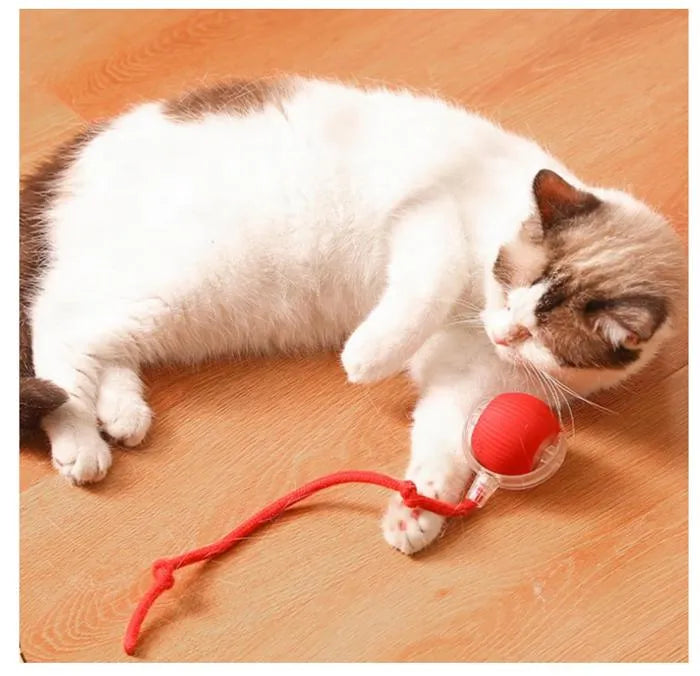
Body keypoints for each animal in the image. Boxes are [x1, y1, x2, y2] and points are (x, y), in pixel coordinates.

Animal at [20, 76, 685, 554]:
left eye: (534, 337)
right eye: (506, 289)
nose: (500, 333)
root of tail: (75, 155)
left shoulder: (468, 382)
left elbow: (443, 444)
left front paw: (418, 510)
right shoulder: (431, 219)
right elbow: (425, 289)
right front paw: (368, 357)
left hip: (180, 312)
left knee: (96, 338)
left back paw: (122, 413)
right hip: (183, 281)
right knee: (56, 324)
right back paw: (80, 439)